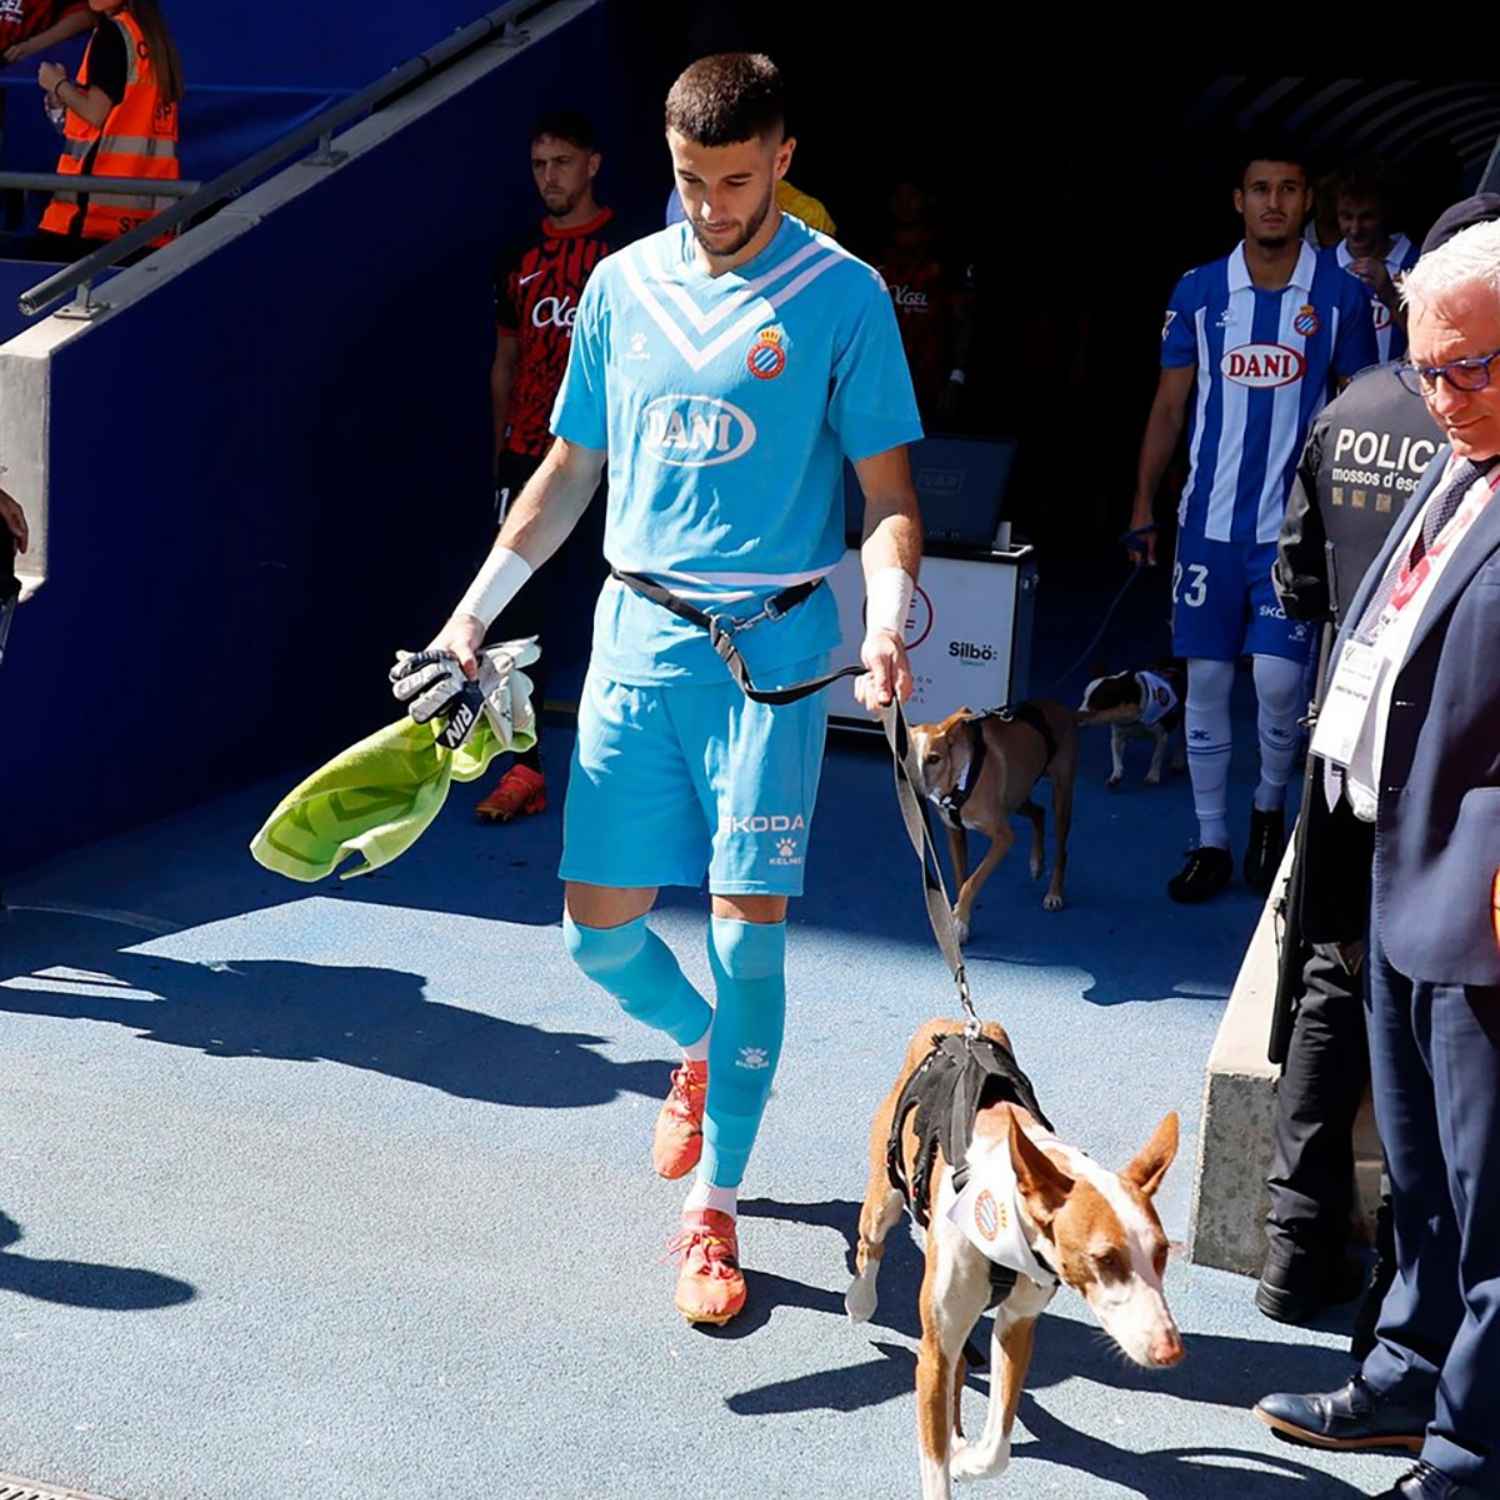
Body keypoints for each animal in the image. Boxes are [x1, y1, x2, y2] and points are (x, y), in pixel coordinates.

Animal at [846, 1014, 1182, 1494]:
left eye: (1161, 1254)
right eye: (1105, 1259)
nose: (1169, 1351)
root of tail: (953, 1022)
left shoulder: (1017, 1324)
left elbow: (998, 1447)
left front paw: (967, 1459)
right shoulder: (934, 1350)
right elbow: (935, 1469)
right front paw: (951, 1459)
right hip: (886, 1193)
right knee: (869, 1242)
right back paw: (860, 1300)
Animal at [906, 699, 1074, 936]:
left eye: (934, 759)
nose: (916, 789)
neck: (959, 779)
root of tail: (1062, 708)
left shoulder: (1004, 838)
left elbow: (971, 882)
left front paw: (960, 921)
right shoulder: (955, 833)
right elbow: (962, 878)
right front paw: (960, 917)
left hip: (1060, 798)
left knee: (1061, 850)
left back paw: (1054, 893)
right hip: (1016, 797)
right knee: (1039, 812)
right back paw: (1036, 863)